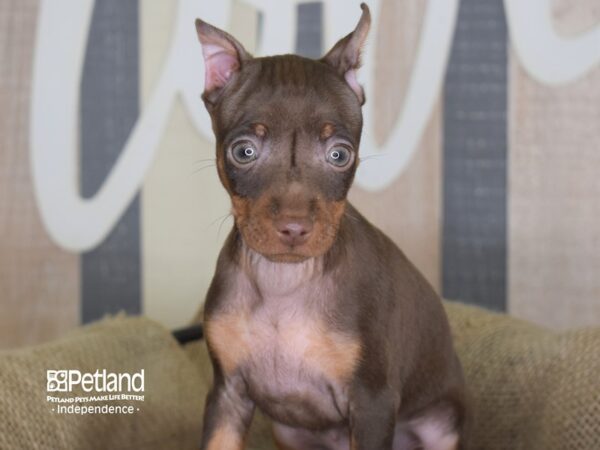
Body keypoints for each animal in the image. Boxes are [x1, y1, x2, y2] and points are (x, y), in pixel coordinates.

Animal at [195, 4, 466, 450]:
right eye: (244, 151)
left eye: (340, 155)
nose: (294, 227)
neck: (284, 280)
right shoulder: (226, 394)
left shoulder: (372, 402)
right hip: (289, 432)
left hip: (441, 425)